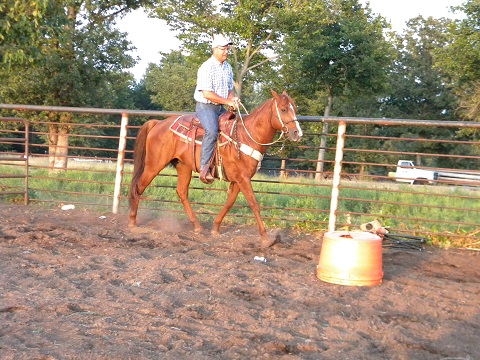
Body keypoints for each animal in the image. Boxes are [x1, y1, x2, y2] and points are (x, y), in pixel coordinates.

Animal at [126, 90, 300, 248]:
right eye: (283, 109)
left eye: (295, 108)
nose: (297, 133)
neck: (246, 136)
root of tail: (158, 123)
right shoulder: (243, 179)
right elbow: (254, 204)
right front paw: (265, 238)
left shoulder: (239, 180)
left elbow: (230, 202)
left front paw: (215, 228)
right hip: (154, 164)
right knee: (139, 186)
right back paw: (133, 221)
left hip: (183, 166)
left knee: (181, 192)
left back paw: (197, 226)